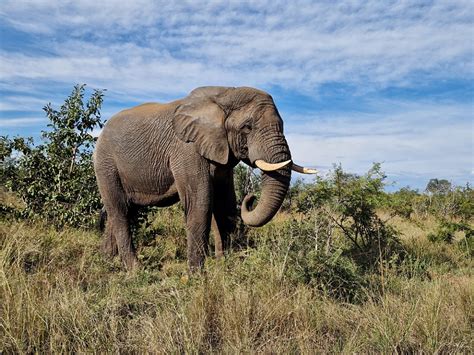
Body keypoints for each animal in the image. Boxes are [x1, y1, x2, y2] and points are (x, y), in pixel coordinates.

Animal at [92, 87, 314, 272]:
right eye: (247, 127)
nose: (251, 198)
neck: (225, 94)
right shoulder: (186, 149)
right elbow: (201, 202)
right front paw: (197, 275)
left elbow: (225, 204)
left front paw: (226, 267)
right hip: (105, 164)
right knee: (119, 210)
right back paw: (136, 270)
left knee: (126, 210)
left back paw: (105, 261)